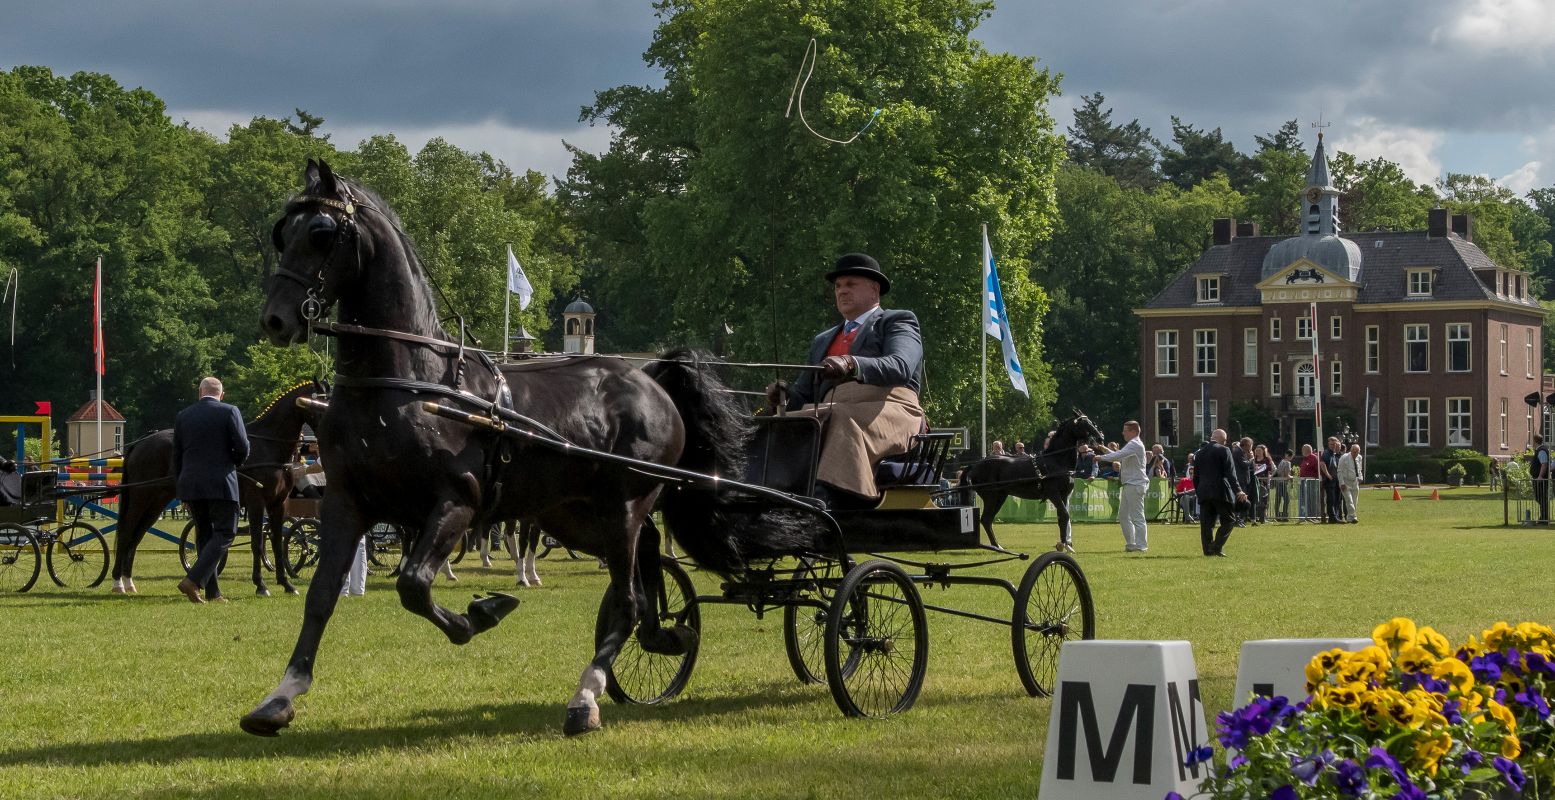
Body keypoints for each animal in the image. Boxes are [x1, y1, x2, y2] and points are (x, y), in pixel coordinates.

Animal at [107, 378, 328, 591]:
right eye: (319, 404)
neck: (268, 447)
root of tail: (141, 442)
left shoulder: (278, 504)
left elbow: (277, 543)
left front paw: (286, 583)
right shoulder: (256, 503)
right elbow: (257, 543)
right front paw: (260, 584)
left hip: (157, 501)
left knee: (136, 536)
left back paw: (128, 580)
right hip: (141, 497)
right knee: (126, 533)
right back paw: (118, 582)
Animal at [242, 160, 783, 734]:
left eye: (322, 233)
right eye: (283, 232)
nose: (275, 319)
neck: (408, 383)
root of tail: (651, 378)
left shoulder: (458, 502)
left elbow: (414, 584)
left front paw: (480, 613)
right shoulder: (347, 502)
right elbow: (322, 595)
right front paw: (281, 696)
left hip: (624, 506)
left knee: (629, 597)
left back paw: (587, 696)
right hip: (574, 514)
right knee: (647, 561)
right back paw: (665, 635)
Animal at [951, 410, 1100, 547]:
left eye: (1090, 421)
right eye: (1083, 423)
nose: (1100, 437)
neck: (1056, 460)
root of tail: (975, 465)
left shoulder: (1064, 495)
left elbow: (1062, 517)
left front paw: (1066, 544)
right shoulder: (1053, 494)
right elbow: (1064, 515)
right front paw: (1063, 545)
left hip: (1000, 496)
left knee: (987, 520)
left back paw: (997, 545)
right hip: (991, 496)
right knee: (986, 519)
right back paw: (996, 545)